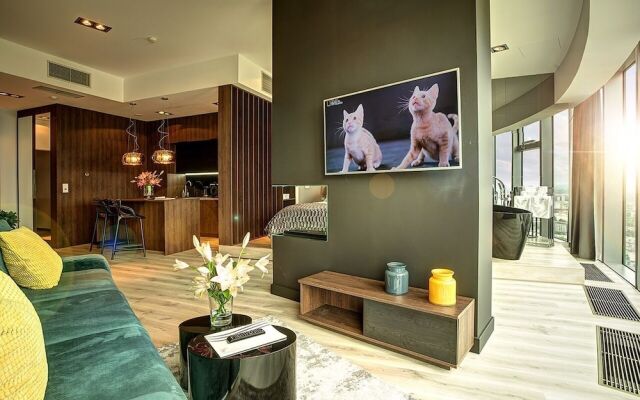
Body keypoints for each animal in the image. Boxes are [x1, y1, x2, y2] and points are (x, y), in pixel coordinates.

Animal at [324, 69, 460, 175]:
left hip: (452, 141)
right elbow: (407, 158)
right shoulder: (415, 145)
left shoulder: (444, 138)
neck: (421, 121)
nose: (415, 98)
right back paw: (416, 161)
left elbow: (444, 151)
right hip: (422, 148)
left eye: (423, 96)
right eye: (346, 120)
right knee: (421, 154)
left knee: (453, 149)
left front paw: (443, 163)